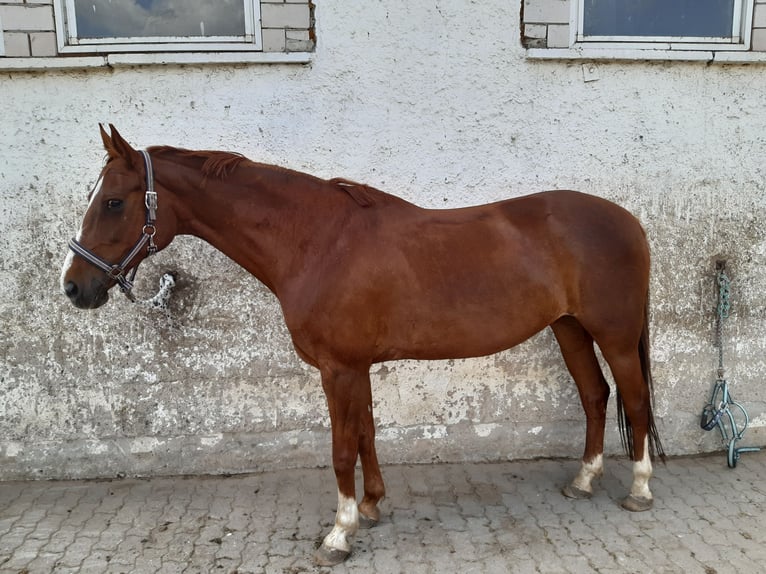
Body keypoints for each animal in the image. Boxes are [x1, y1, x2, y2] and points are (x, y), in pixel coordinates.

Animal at [63, 127, 664, 568]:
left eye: (112, 202)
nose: (73, 287)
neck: (317, 240)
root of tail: (629, 221)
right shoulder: (358, 367)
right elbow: (367, 434)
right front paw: (373, 506)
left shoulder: (338, 369)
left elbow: (340, 448)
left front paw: (339, 533)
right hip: (569, 329)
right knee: (595, 396)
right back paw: (583, 481)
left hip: (612, 334)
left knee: (634, 399)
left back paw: (639, 490)